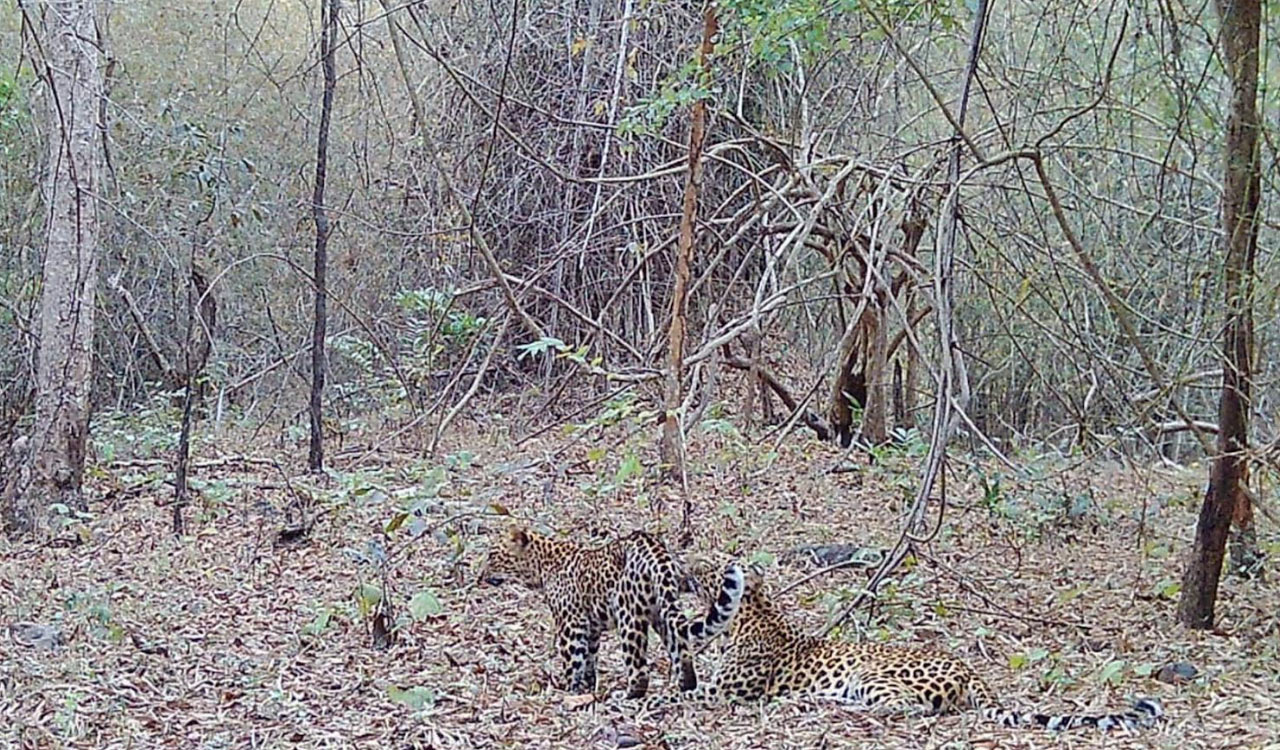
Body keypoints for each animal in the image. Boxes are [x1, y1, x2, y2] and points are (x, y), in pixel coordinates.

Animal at [478, 525, 744, 699]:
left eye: (493, 555)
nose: (478, 576)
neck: (542, 566)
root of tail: (654, 548)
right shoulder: (591, 626)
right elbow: (590, 656)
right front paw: (587, 685)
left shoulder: (571, 622)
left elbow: (573, 659)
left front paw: (569, 689)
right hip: (662, 609)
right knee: (681, 649)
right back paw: (684, 686)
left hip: (629, 615)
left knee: (639, 669)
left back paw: (628, 695)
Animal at [673, 566, 1163, 731]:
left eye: (711, 572)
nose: (690, 571)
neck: (754, 615)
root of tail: (970, 669)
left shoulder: (723, 690)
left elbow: (685, 692)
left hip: (873, 675)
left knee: (908, 707)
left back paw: (827, 702)